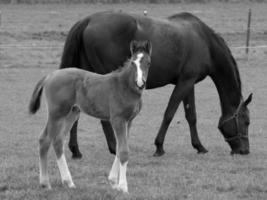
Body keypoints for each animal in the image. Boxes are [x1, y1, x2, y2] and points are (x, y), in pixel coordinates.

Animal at [29, 39, 153, 193]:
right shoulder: (117, 119)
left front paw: (113, 182)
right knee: (44, 139)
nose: (140, 83)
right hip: (57, 114)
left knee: (57, 141)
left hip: (72, 113)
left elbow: (119, 149)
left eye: (148, 63)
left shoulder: (128, 121)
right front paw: (123, 187)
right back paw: (45, 183)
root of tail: (50, 75)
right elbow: (123, 151)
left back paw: (69, 182)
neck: (124, 86)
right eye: (132, 63)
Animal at [60, 10, 253, 158]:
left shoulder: (188, 82)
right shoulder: (185, 82)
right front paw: (159, 147)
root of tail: (87, 20)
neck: (204, 41)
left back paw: (76, 150)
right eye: (246, 121)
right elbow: (169, 114)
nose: (244, 151)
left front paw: (199, 146)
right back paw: (114, 148)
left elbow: (191, 116)